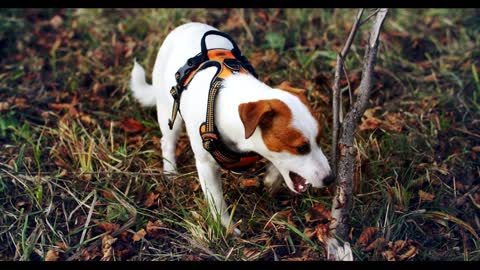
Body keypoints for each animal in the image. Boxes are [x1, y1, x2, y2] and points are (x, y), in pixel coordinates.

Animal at [131, 22, 334, 234]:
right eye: (300, 148)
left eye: (319, 140)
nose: (331, 179)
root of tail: (185, 26)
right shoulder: (206, 166)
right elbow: (217, 202)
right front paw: (227, 227)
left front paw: (271, 178)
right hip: (169, 111)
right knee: (167, 140)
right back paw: (170, 170)